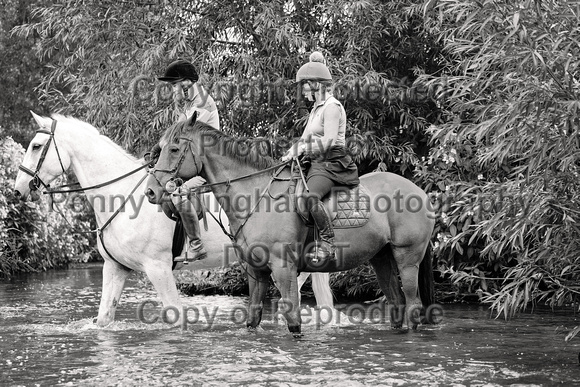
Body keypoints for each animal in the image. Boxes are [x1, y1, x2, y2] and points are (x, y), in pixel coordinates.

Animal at [13, 113, 336, 328]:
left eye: (36, 146)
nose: (18, 189)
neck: (120, 198)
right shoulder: (114, 267)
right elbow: (104, 319)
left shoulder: (157, 268)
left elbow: (174, 316)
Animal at [145, 113, 436, 336]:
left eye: (174, 149)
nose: (150, 191)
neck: (256, 196)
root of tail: (420, 192)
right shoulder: (257, 271)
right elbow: (253, 318)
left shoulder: (283, 268)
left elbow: (293, 321)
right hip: (381, 257)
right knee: (397, 303)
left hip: (407, 258)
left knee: (412, 305)